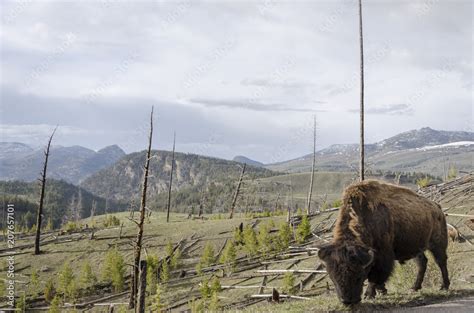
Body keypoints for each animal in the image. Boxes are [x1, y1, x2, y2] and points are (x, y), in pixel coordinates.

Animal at [318, 179, 448, 304]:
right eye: (333, 277)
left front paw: (369, 295)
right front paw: (382, 291)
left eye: (359, 275)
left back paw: (444, 286)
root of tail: (437, 207)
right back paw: (414, 288)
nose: (348, 301)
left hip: (437, 243)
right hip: (416, 248)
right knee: (422, 262)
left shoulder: (382, 255)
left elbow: (375, 275)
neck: (364, 217)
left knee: (441, 261)